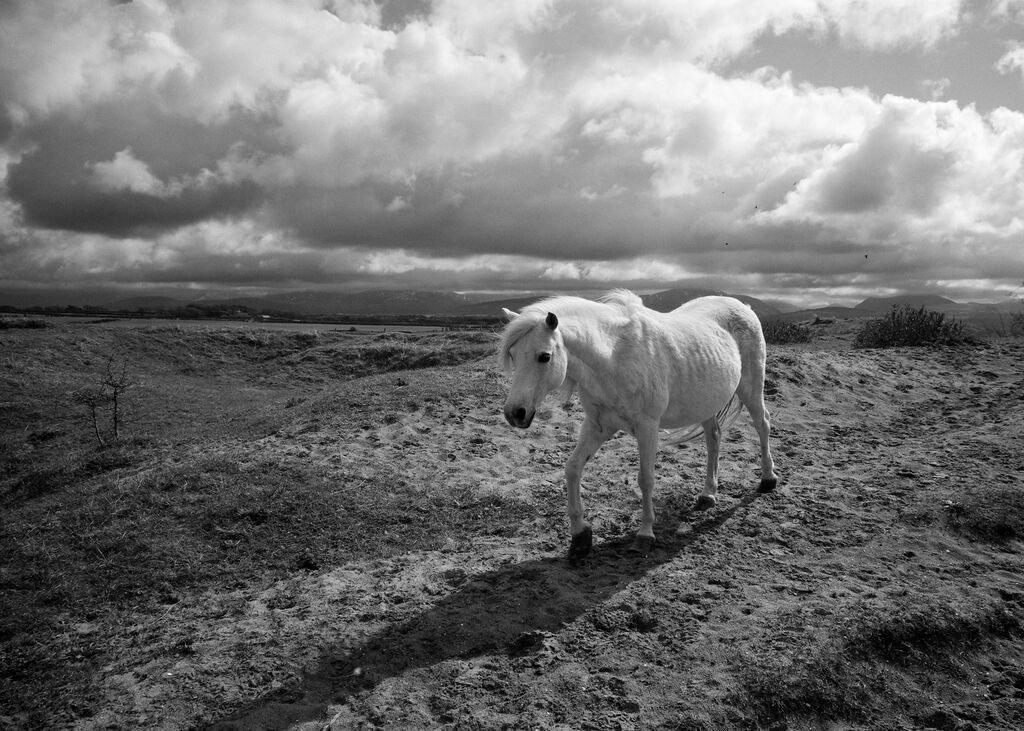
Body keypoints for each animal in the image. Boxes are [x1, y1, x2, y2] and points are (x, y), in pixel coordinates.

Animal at [495, 286, 774, 556]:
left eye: (544, 356)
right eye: (513, 355)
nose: (514, 413)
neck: (613, 359)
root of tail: (743, 306)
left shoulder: (647, 427)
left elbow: (646, 478)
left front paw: (645, 535)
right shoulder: (597, 426)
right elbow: (573, 468)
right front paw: (580, 536)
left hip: (750, 388)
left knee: (763, 424)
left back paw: (768, 479)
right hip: (706, 402)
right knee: (714, 437)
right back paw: (708, 494)